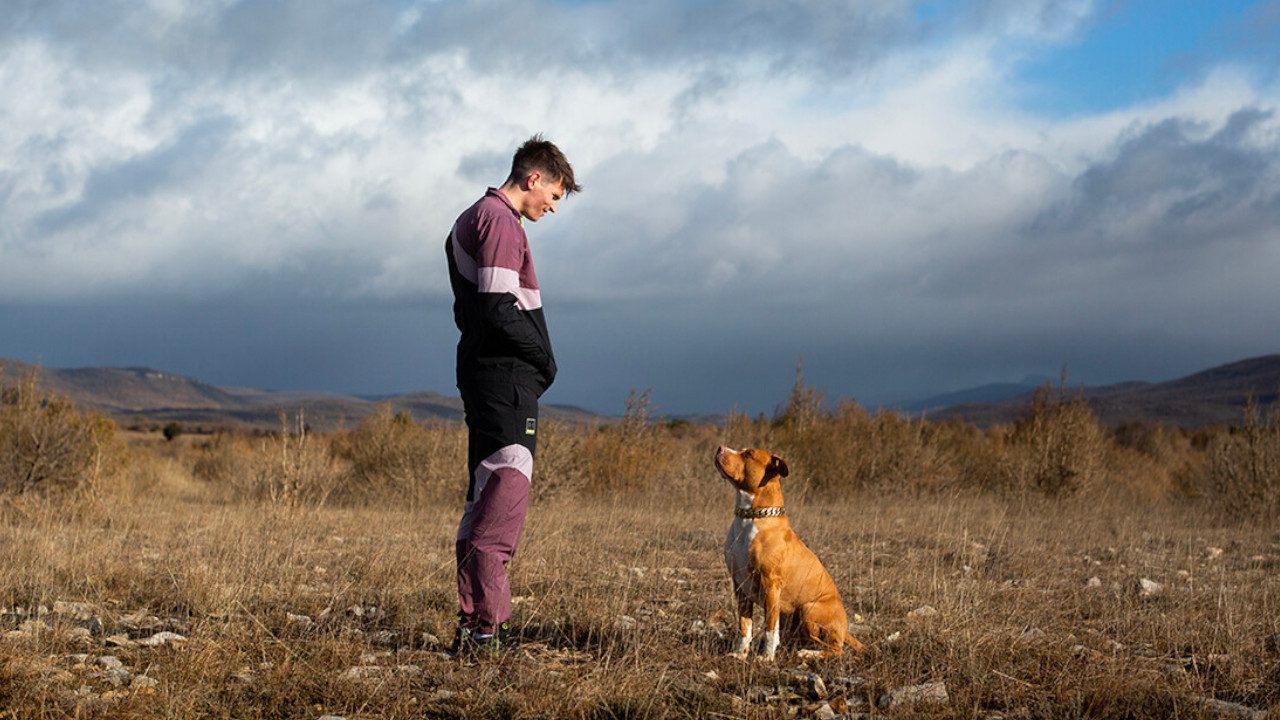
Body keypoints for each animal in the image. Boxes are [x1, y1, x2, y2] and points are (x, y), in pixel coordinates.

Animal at [716, 445, 865, 661]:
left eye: (748, 454)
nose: (720, 448)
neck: (750, 517)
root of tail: (845, 630)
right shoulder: (740, 585)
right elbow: (745, 625)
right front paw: (740, 654)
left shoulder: (770, 585)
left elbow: (770, 628)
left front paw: (766, 658)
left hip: (809, 608)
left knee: (836, 649)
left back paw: (808, 654)